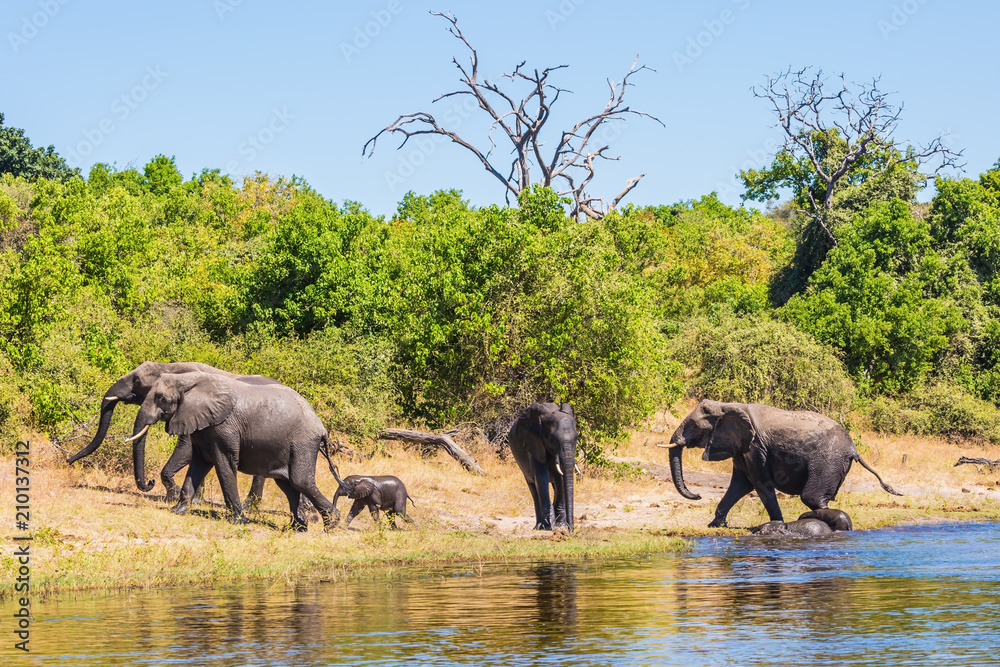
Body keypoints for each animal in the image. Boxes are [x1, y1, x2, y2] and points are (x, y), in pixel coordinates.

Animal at [66, 361, 278, 507]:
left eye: (137, 380)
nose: (69, 461)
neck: (171, 367)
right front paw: (193, 500)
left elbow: (186, 448)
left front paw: (174, 495)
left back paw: (249, 507)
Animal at [127, 371, 339, 530]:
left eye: (161, 398)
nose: (150, 482)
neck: (190, 381)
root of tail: (322, 428)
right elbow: (198, 464)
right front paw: (178, 511)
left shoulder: (224, 428)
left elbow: (224, 464)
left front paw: (239, 520)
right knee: (288, 485)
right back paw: (297, 528)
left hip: (303, 443)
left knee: (300, 481)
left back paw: (332, 523)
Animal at [507, 402, 577, 532]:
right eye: (552, 439)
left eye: (577, 438)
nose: (571, 530)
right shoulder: (534, 444)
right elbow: (541, 478)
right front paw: (548, 527)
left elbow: (560, 478)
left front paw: (560, 526)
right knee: (534, 489)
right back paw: (538, 526)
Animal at [668, 400, 901, 528]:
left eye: (693, 426)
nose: (698, 495)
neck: (726, 405)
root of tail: (854, 448)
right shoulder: (742, 447)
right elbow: (740, 485)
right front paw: (715, 526)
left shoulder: (756, 448)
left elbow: (760, 484)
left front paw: (778, 525)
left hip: (829, 461)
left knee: (812, 497)